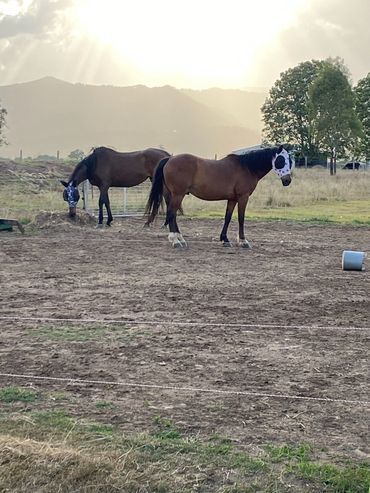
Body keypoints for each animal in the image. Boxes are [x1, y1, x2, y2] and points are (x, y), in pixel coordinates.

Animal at [146, 145, 294, 246]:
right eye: (281, 160)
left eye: (290, 160)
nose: (287, 180)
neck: (247, 167)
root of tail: (169, 159)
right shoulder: (243, 197)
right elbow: (241, 218)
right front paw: (243, 241)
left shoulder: (232, 199)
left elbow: (227, 218)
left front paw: (225, 239)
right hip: (178, 194)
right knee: (171, 213)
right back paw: (175, 240)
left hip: (173, 195)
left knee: (173, 215)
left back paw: (180, 238)